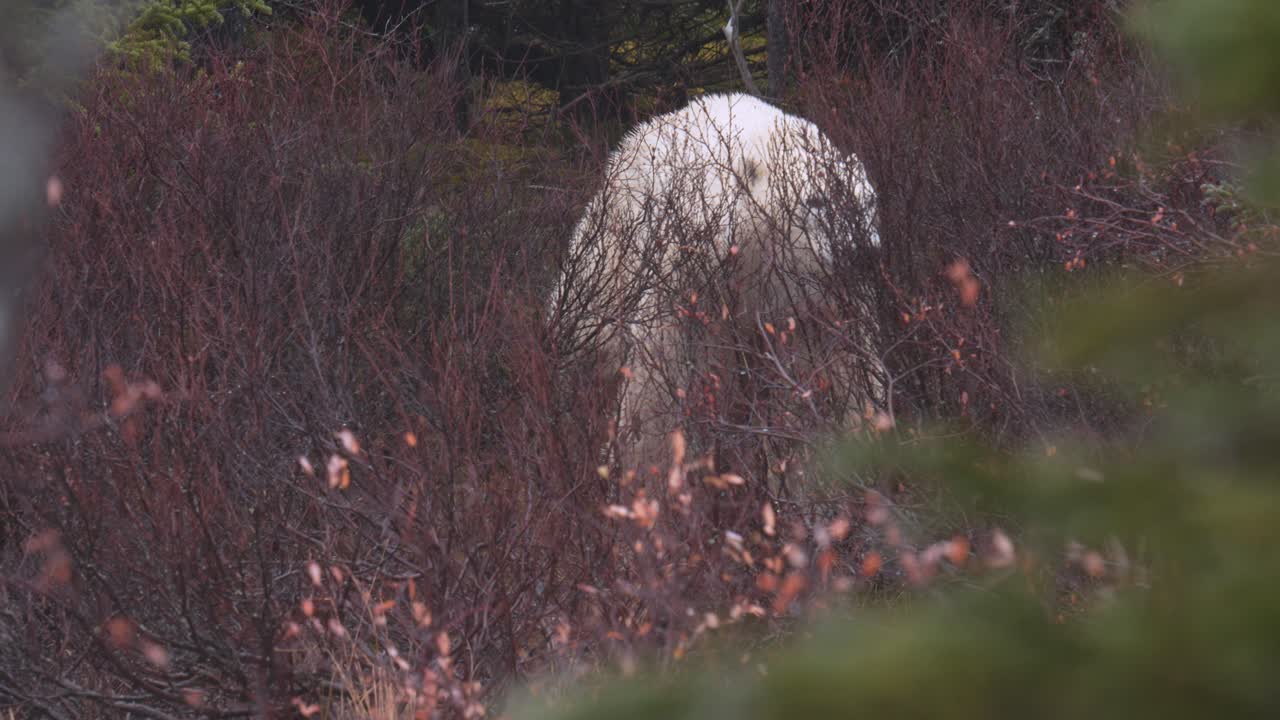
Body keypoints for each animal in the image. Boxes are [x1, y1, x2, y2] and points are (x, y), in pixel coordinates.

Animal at [548, 92, 883, 476]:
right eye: (815, 200)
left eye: (867, 201)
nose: (864, 253)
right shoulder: (693, 275)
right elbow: (662, 375)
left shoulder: (817, 304)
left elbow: (838, 370)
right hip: (608, 255)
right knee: (587, 343)